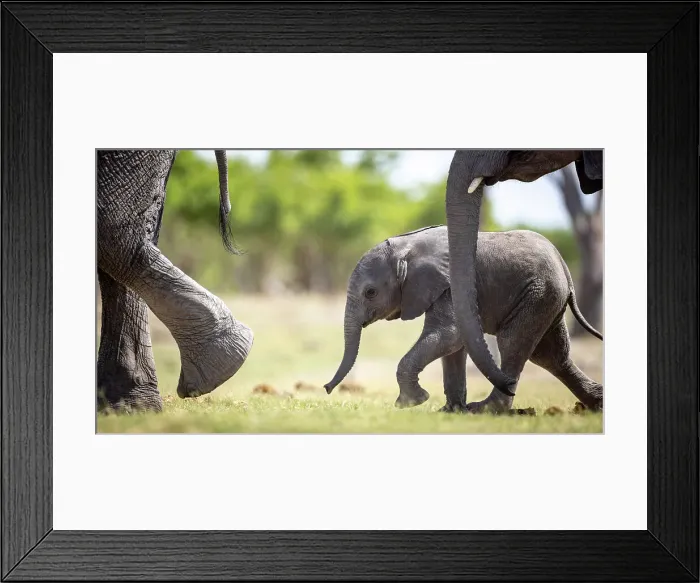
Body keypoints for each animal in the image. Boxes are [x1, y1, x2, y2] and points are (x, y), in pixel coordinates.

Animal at [323, 225, 603, 414]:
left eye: (370, 293)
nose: (326, 389)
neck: (408, 246)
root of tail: (562, 262)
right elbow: (454, 344)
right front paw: (450, 411)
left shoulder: (452, 285)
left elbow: (449, 334)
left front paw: (411, 403)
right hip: (547, 296)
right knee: (550, 355)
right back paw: (596, 404)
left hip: (539, 293)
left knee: (513, 344)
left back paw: (487, 409)